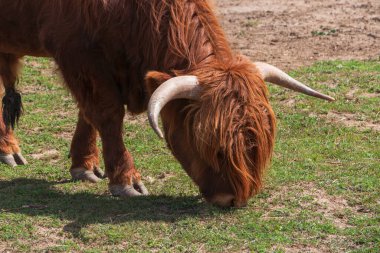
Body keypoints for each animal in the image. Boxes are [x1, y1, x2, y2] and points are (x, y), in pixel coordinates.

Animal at [0, 0, 332, 207]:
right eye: (212, 145)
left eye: (260, 144)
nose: (232, 199)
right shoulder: (78, 55)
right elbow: (106, 114)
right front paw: (125, 180)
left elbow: (88, 114)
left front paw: (84, 165)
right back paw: (7, 150)